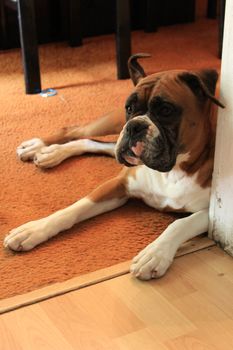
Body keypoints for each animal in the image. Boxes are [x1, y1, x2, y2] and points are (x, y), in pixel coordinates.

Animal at [3, 54, 224, 278]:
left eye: (166, 110)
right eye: (130, 108)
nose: (135, 125)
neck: (172, 171)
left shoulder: (214, 214)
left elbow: (182, 223)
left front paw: (154, 253)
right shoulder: (117, 185)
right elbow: (74, 208)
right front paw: (34, 229)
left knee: (95, 143)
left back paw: (52, 153)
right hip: (113, 125)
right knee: (76, 130)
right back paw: (37, 146)